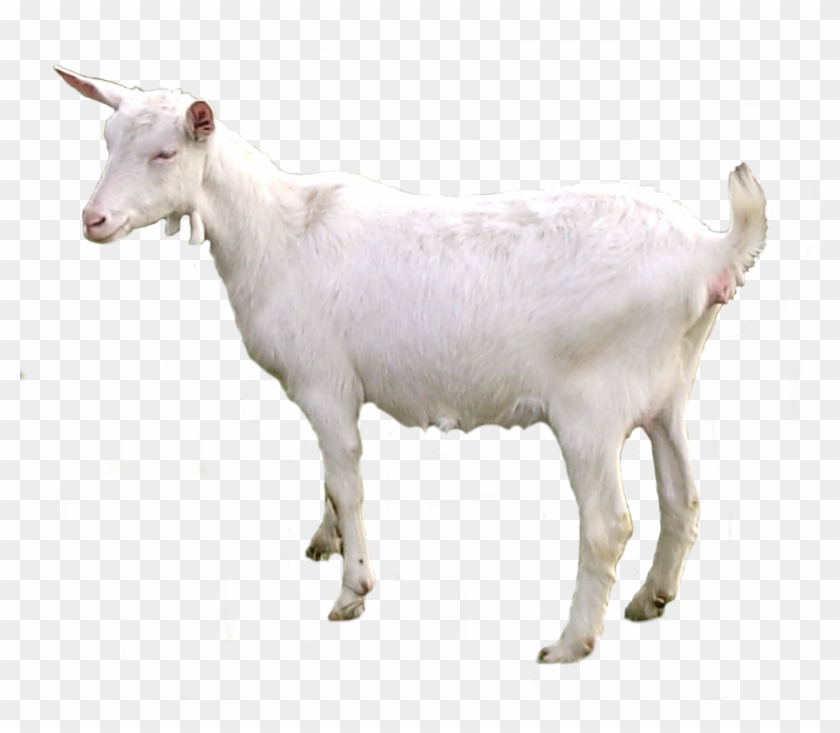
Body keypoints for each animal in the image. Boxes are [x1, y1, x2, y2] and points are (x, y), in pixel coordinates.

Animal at [55, 66, 767, 663]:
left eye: (165, 153)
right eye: (107, 139)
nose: (93, 219)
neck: (277, 231)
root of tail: (710, 251)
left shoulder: (325, 381)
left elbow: (347, 480)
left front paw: (353, 590)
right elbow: (332, 480)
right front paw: (327, 541)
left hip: (591, 407)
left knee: (608, 525)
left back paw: (570, 643)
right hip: (668, 391)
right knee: (683, 498)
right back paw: (651, 599)